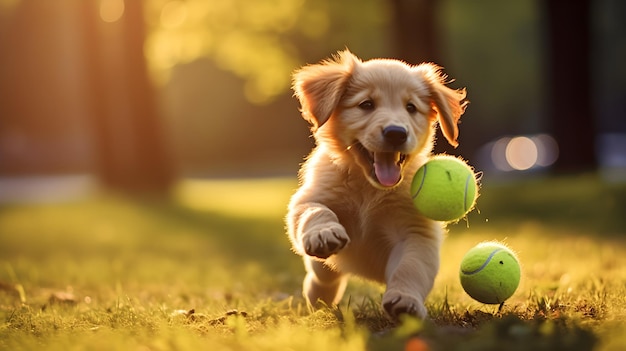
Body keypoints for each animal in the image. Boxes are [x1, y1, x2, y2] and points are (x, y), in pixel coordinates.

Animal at [286, 50, 466, 322]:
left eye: (411, 108)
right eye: (366, 105)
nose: (396, 133)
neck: (369, 187)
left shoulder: (416, 232)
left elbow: (411, 266)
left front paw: (405, 300)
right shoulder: (309, 198)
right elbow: (315, 211)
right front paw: (323, 232)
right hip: (324, 265)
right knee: (323, 275)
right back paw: (318, 296)